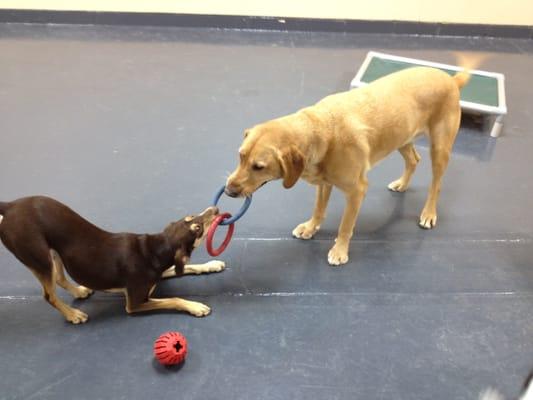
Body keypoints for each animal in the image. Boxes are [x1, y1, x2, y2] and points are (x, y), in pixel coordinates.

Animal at [0, 195, 223, 324]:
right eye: (197, 228)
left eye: (191, 217)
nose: (215, 209)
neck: (153, 249)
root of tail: (10, 206)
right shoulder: (134, 303)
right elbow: (174, 299)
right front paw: (195, 306)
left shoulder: (159, 273)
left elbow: (191, 267)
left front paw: (211, 265)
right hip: (38, 258)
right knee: (49, 295)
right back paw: (73, 315)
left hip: (55, 253)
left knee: (60, 279)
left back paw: (79, 292)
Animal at [224, 66, 470, 266]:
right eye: (240, 156)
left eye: (259, 167)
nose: (228, 191)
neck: (321, 129)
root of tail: (451, 79)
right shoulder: (324, 183)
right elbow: (318, 210)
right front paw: (310, 227)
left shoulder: (357, 191)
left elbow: (345, 226)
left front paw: (339, 251)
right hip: (401, 138)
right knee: (413, 160)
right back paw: (401, 184)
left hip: (439, 149)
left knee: (436, 184)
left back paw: (428, 213)